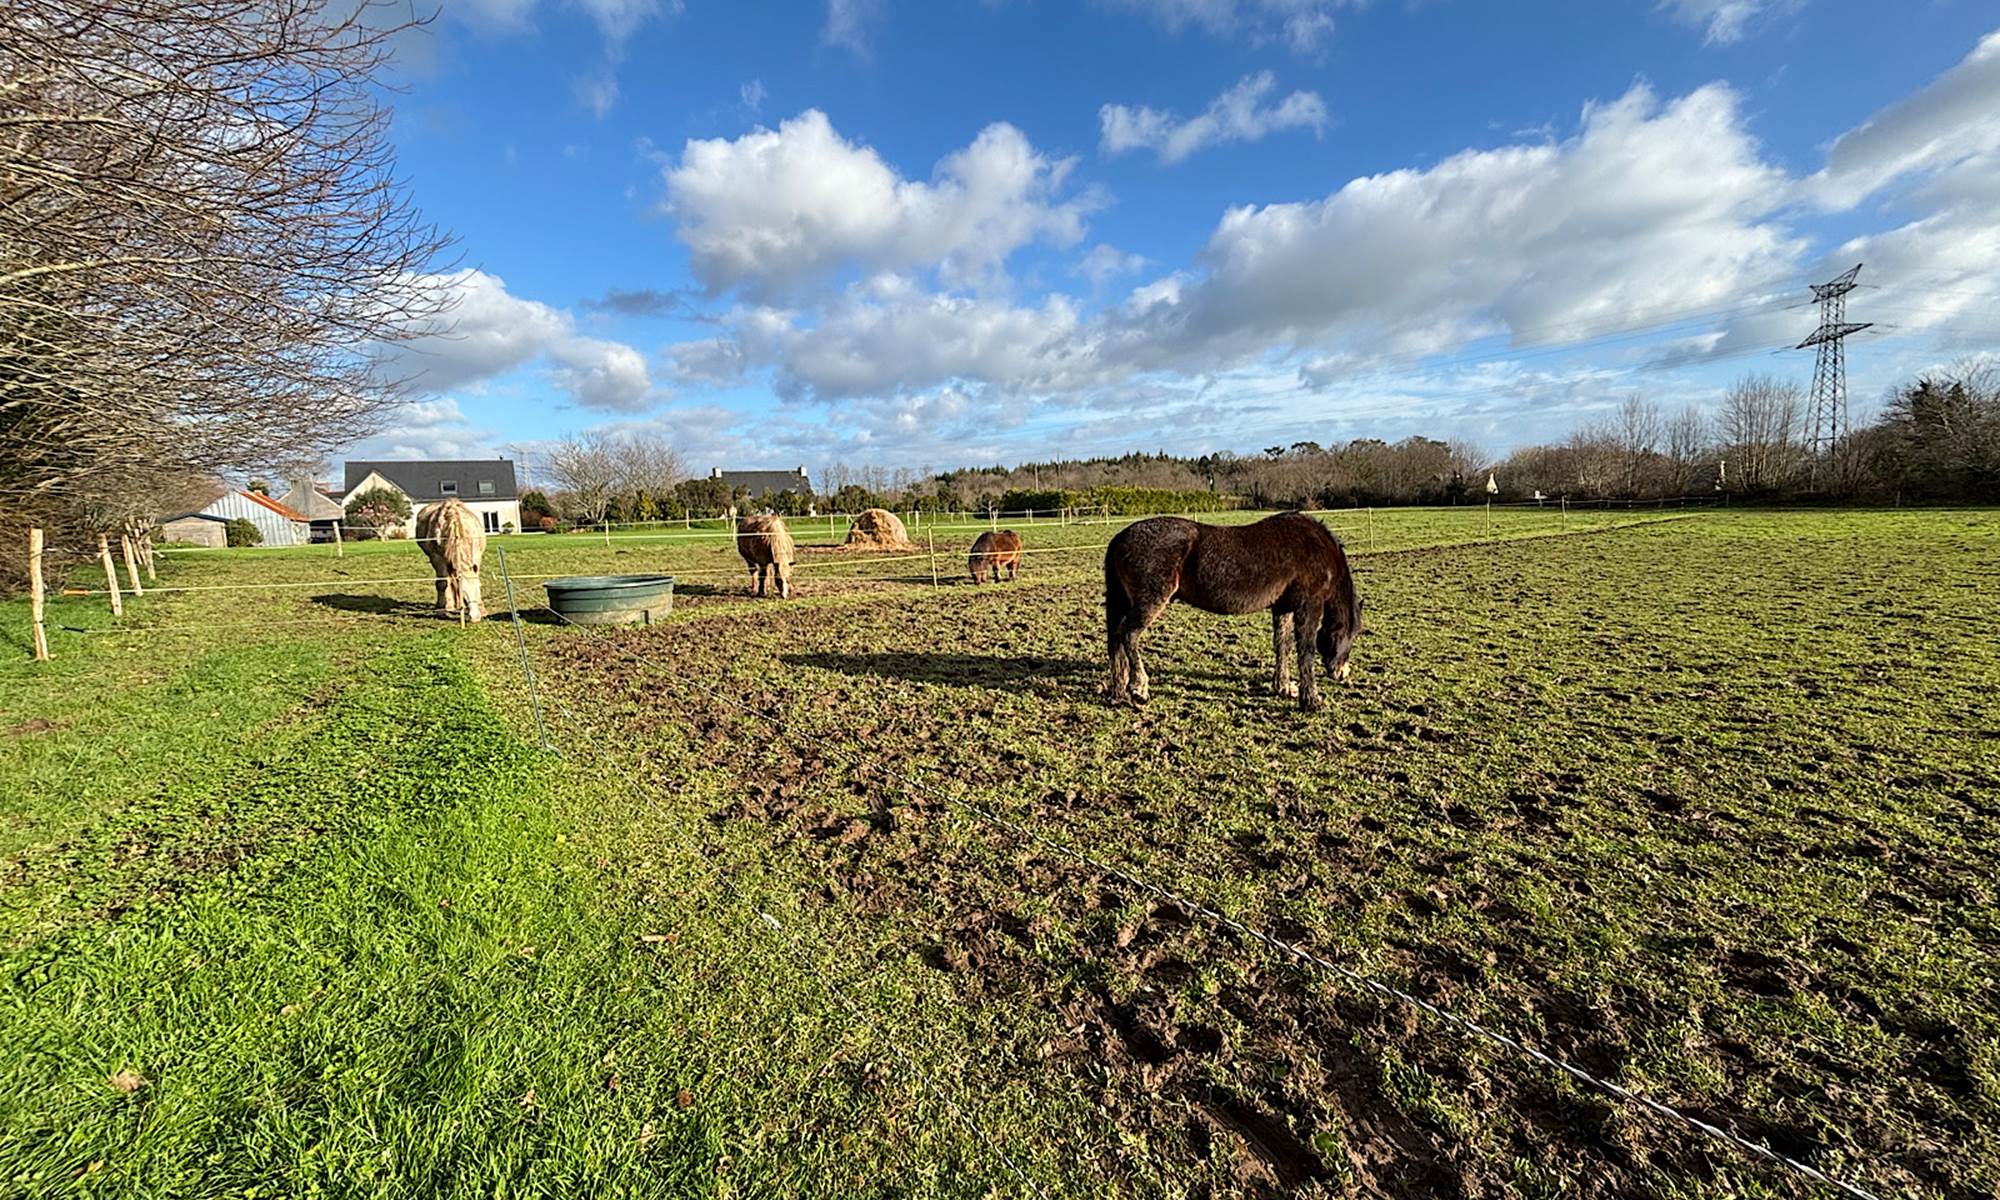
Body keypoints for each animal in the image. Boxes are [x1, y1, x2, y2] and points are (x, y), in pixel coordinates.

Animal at [1103, 512, 1362, 711]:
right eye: (1353, 635)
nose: (1342, 673)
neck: (1316, 547)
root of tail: (1120, 537)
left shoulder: (1283, 607)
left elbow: (1282, 646)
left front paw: (1284, 688)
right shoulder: (1308, 606)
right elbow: (1305, 651)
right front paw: (1312, 700)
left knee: (1117, 640)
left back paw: (1119, 691)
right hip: (1151, 600)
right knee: (1129, 635)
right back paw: (1138, 688)